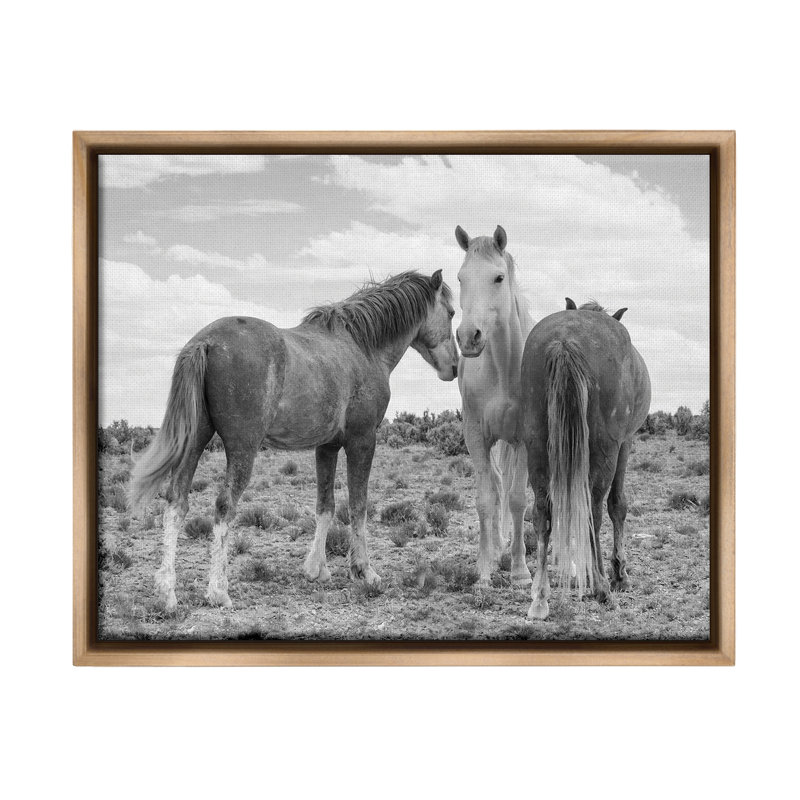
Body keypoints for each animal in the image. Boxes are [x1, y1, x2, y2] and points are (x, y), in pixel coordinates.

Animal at [130, 270, 459, 612]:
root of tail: (205, 342)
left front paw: (317, 569)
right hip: (242, 449)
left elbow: (325, 506)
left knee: (176, 502)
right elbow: (358, 506)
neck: (362, 347)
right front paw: (364, 571)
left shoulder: (327, 446)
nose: (454, 367)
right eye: (451, 312)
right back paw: (218, 591)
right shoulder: (363, 440)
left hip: (195, 442)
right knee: (223, 506)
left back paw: (167, 592)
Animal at [521, 300, 651, 620]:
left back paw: (540, 598)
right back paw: (602, 587)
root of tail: (565, 340)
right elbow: (618, 505)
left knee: (542, 512)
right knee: (594, 511)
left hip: (537, 445)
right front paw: (620, 575)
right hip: (605, 449)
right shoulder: (625, 443)